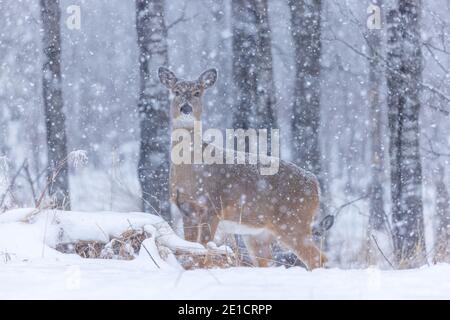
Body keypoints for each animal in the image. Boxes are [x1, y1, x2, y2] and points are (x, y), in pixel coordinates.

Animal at [158, 67, 326, 270]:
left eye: (198, 92)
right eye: (176, 91)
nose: (186, 108)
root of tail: (315, 183)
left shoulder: (212, 206)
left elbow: (204, 250)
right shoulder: (186, 209)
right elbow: (191, 250)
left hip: (293, 221)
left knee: (317, 258)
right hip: (259, 234)